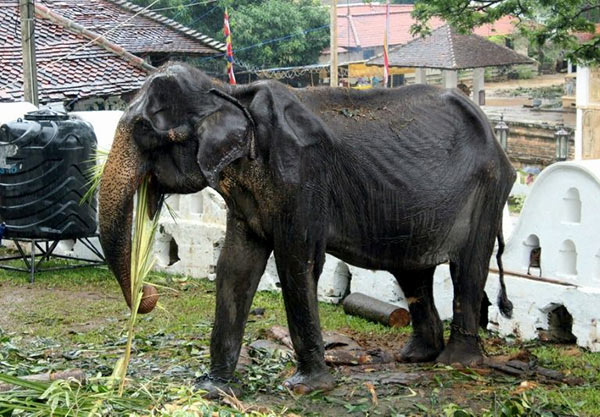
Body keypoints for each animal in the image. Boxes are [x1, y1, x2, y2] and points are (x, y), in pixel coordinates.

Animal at [98, 61, 516, 396]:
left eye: (144, 130)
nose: (149, 293)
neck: (230, 94)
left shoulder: (301, 179)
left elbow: (297, 264)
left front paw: (305, 387)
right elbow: (235, 268)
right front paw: (212, 388)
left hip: (487, 191)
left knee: (467, 269)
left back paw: (456, 362)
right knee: (413, 273)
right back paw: (416, 357)